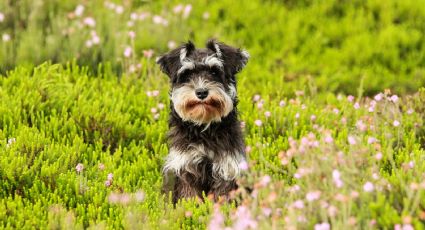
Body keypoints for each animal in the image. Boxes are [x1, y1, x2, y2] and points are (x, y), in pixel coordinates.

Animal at [156, 39, 248, 203]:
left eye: (214, 72)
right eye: (187, 74)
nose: (201, 92)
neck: (204, 128)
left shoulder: (226, 169)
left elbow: (221, 196)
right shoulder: (185, 168)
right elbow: (190, 196)